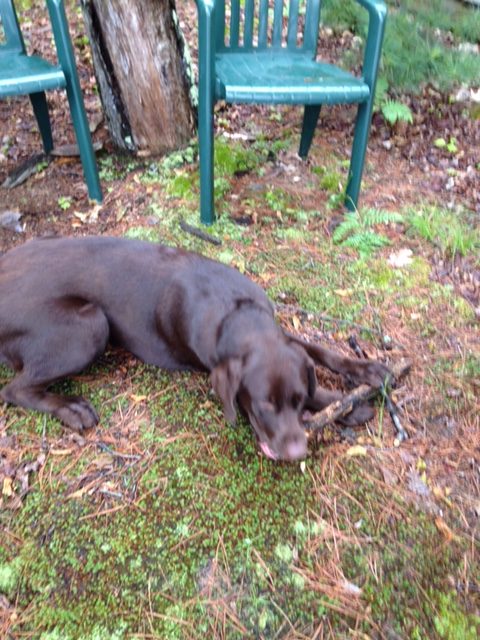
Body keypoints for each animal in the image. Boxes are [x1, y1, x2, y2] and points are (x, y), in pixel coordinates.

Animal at [0, 236, 390, 460]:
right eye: (264, 404)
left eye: (296, 400)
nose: (296, 453)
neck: (234, 312)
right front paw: (347, 405)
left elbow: (317, 350)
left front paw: (366, 371)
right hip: (89, 326)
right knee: (14, 390)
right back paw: (71, 409)